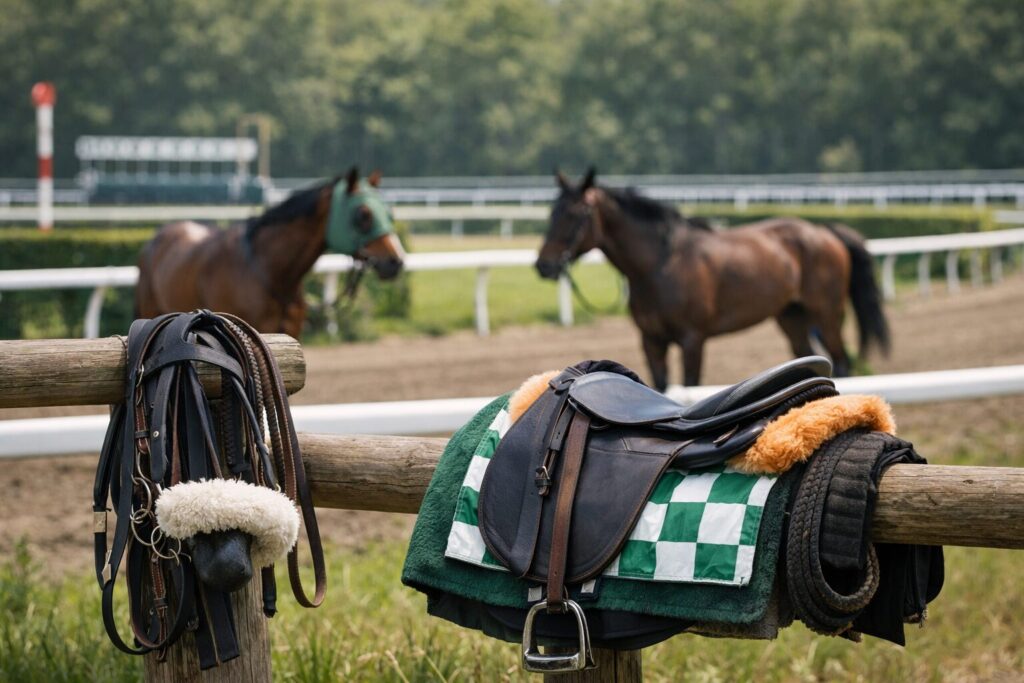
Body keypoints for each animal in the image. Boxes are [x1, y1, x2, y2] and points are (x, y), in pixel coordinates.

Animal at [535, 168, 890, 389]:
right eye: (552, 212)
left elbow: (691, 386)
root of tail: (825, 231)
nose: (544, 265)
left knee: (842, 363)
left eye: (575, 214)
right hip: (792, 317)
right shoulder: (652, 341)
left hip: (827, 314)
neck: (661, 264)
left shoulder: (693, 340)